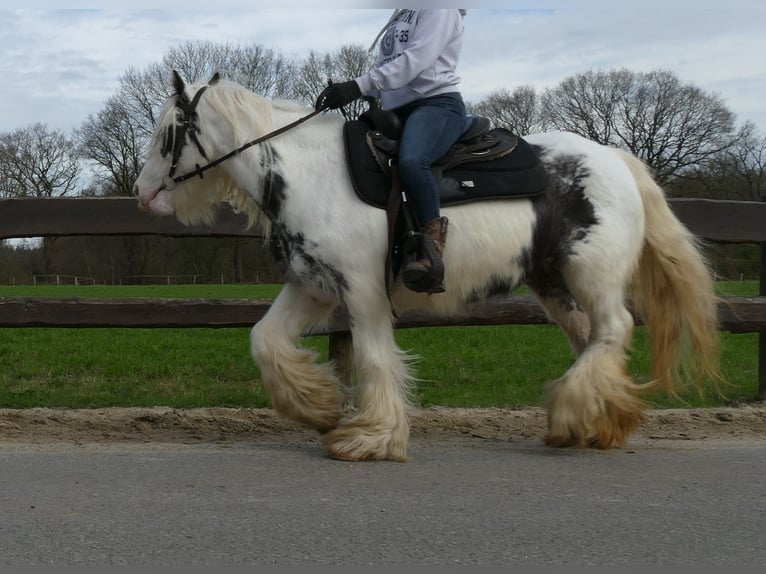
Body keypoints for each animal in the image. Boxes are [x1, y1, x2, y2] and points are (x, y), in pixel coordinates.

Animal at [135, 72, 724, 462]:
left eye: (168, 135)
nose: (143, 195)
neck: (310, 173)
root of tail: (614, 159)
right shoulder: (312, 285)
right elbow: (265, 340)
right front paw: (318, 407)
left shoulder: (363, 290)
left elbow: (375, 359)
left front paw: (369, 437)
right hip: (553, 282)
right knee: (592, 340)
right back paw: (593, 421)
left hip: (591, 275)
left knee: (614, 330)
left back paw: (579, 415)